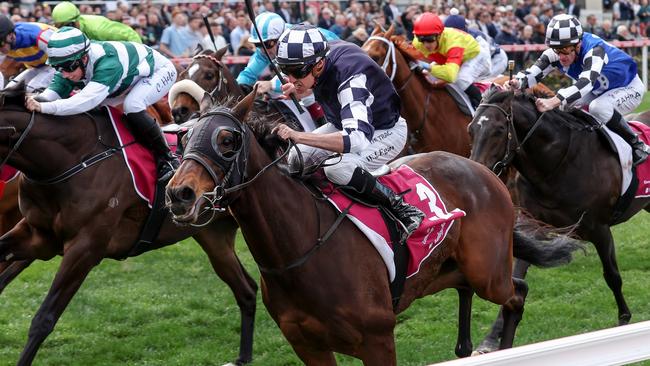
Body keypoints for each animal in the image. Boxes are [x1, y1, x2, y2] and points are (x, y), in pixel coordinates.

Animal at [0, 87, 256, 364]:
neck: (71, 160)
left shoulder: (85, 249)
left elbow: (43, 319)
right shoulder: (39, 237)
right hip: (213, 237)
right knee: (247, 289)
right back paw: (244, 356)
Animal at [165, 88, 580, 364]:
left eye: (228, 139)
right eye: (184, 137)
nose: (179, 193)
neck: (300, 247)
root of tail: (483, 170)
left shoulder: (377, 340)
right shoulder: (308, 345)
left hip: (488, 273)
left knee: (517, 293)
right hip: (446, 269)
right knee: (469, 288)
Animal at [466, 88, 648, 352]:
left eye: (499, 129)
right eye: (471, 128)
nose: (479, 172)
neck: (556, 165)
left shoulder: (599, 229)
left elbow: (612, 276)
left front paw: (624, 320)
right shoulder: (532, 227)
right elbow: (516, 279)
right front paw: (490, 339)